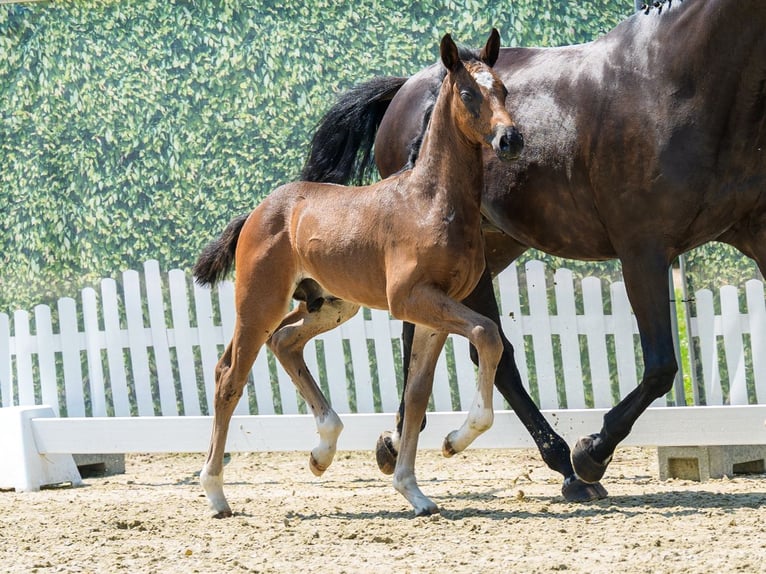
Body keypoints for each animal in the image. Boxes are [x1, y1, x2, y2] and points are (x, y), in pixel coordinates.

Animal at [193, 30, 525, 517]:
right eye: (468, 93)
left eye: (503, 90)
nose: (510, 139)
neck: (430, 202)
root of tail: (258, 211)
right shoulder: (412, 300)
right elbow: (487, 335)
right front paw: (455, 440)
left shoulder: (434, 312)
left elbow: (416, 393)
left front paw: (413, 491)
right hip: (259, 303)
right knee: (229, 377)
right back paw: (216, 493)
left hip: (330, 304)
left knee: (284, 341)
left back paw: (321, 452)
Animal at [301, 0, 766, 502]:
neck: (678, 79)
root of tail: (405, 89)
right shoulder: (643, 248)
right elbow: (661, 365)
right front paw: (591, 453)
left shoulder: (755, 235)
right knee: (492, 352)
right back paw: (563, 464)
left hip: (488, 248)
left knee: (428, 334)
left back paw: (398, 441)